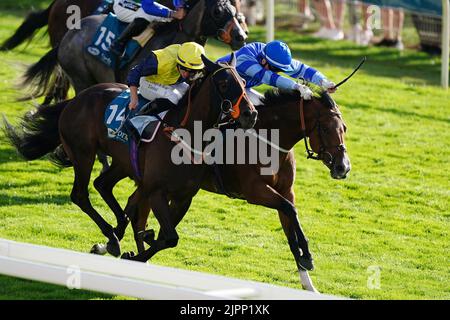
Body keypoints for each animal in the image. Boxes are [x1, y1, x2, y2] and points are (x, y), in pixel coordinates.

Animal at [4, 55, 256, 258]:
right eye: (224, 83)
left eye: (243, 82)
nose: (250, 114)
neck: (185, 136)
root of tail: (77, 98)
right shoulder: (156, 192)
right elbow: (169, 237)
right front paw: (135, 250)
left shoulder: (183, 197)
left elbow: (166, 236)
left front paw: (142, 241)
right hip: (83, 153)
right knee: (80, 194)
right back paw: (113, 238)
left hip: (123, 162)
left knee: (103, 184)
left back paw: (115, 233)